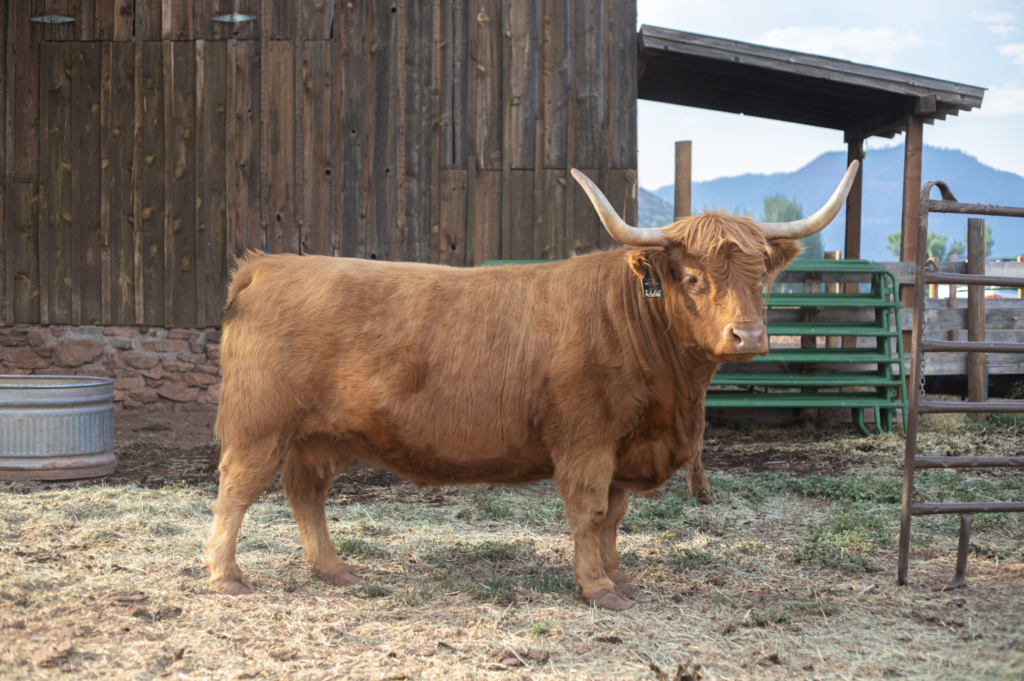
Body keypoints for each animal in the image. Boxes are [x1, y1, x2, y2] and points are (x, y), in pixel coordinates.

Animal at [204, 161, 859, 610]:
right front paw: (597, 587)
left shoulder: (623, 448)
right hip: (259, 425)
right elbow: (589, 511)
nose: (748, 336)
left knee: (305, 491)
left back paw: (334, 569)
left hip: (322, 434)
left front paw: (619, 575)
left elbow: (614, 516)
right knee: (236, 489)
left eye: (761, 277)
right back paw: (227, 576)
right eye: (694, 278)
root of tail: (267, 264)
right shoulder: (586, 440)